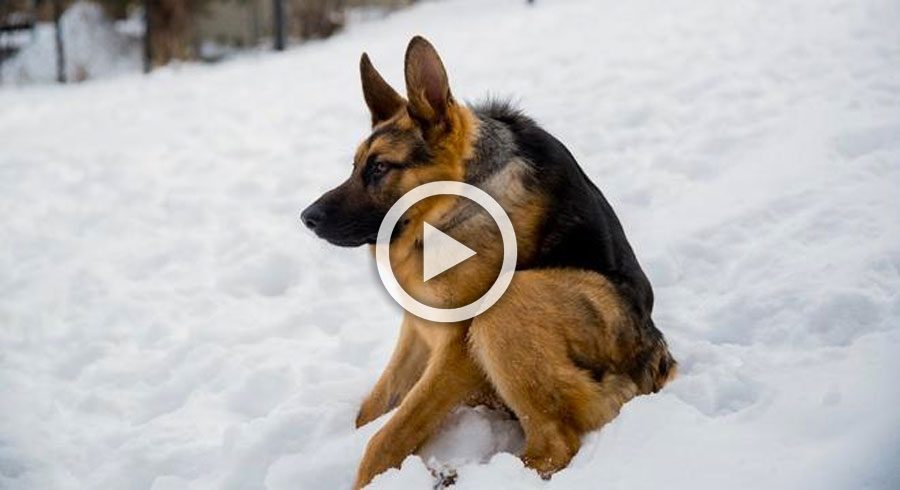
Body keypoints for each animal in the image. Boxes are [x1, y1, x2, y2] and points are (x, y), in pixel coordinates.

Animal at [302, 36, 676, 488]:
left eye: (379, 168)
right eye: (356, 166)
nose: (306, 218)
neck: (450, 204)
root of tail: (655, 365)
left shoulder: (457, 347)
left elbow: (389, 435)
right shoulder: (416, 329)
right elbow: (370, 413)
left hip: (507, 306)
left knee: (555, 443)